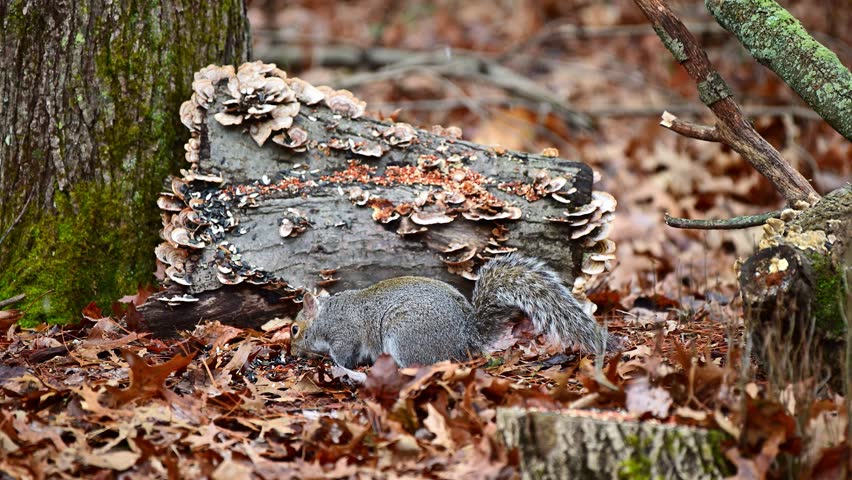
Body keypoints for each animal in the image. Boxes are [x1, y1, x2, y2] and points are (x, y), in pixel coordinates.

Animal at [290, 253, 617, 368]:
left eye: (294, 329)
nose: (291, 351)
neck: (324, 316)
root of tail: (464, 335)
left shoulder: (343, 334)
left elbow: (344, 355)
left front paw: (337, 367)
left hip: (405, 336)